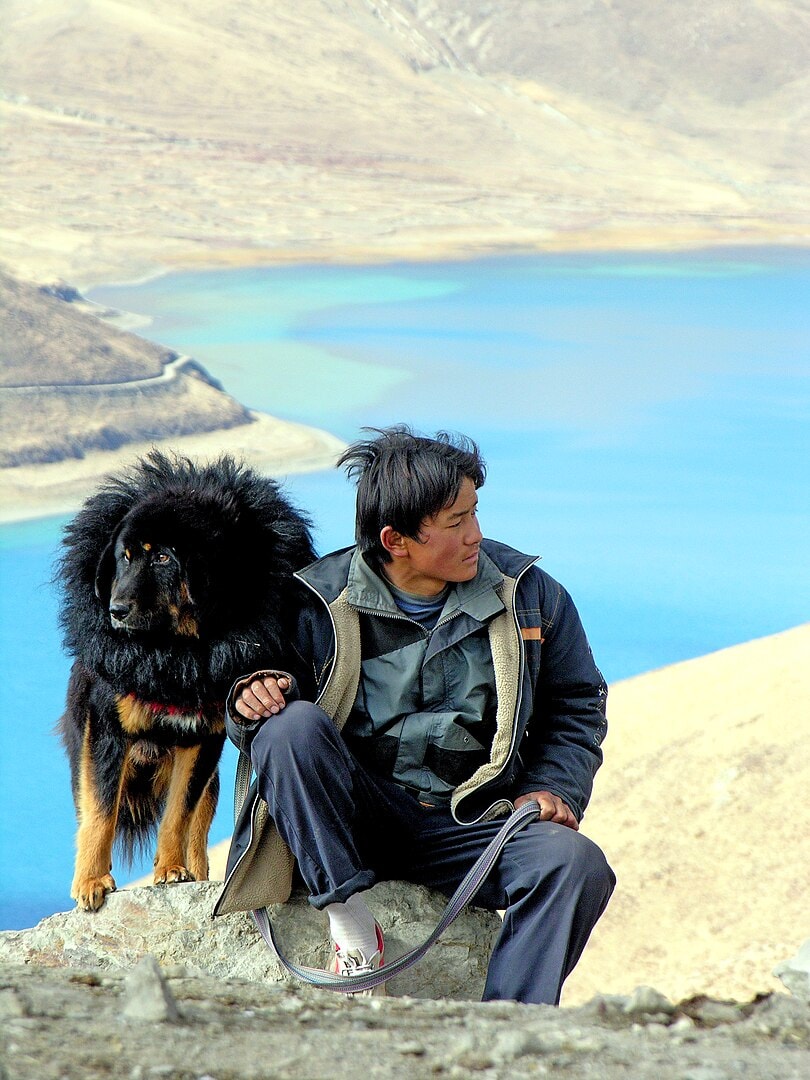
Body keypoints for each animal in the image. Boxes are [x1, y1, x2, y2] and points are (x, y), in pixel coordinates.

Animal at [56, 447, 317, 911]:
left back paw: (195, 870)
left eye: (163, 557)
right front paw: (91, 881)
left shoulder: (203, 739)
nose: (115, 610)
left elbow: (179, 812)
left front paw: (172, 868)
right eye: (124, 557)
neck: (177, 658)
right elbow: (101, 813)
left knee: (198, 818)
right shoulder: (106, 731)